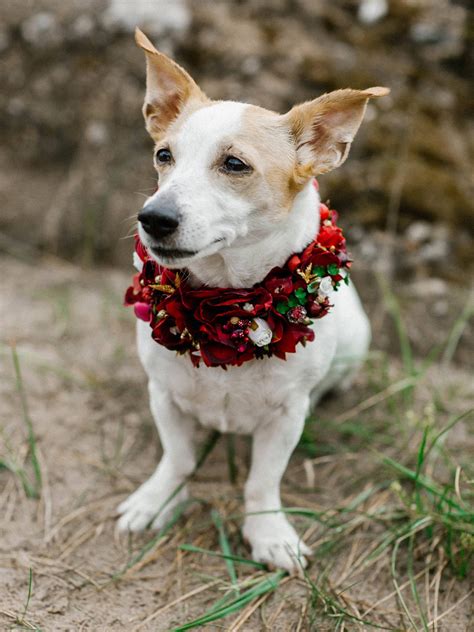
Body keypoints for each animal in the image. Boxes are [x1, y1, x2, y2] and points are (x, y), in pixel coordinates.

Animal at [118, 28, 388, 572]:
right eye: (163, 156)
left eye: (234, 164)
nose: (152, 217)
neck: (227, 305)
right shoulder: (164, 395)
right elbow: (178, 458)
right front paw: (158, 500)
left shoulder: (285, 417)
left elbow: (263, 481)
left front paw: (268, 533)